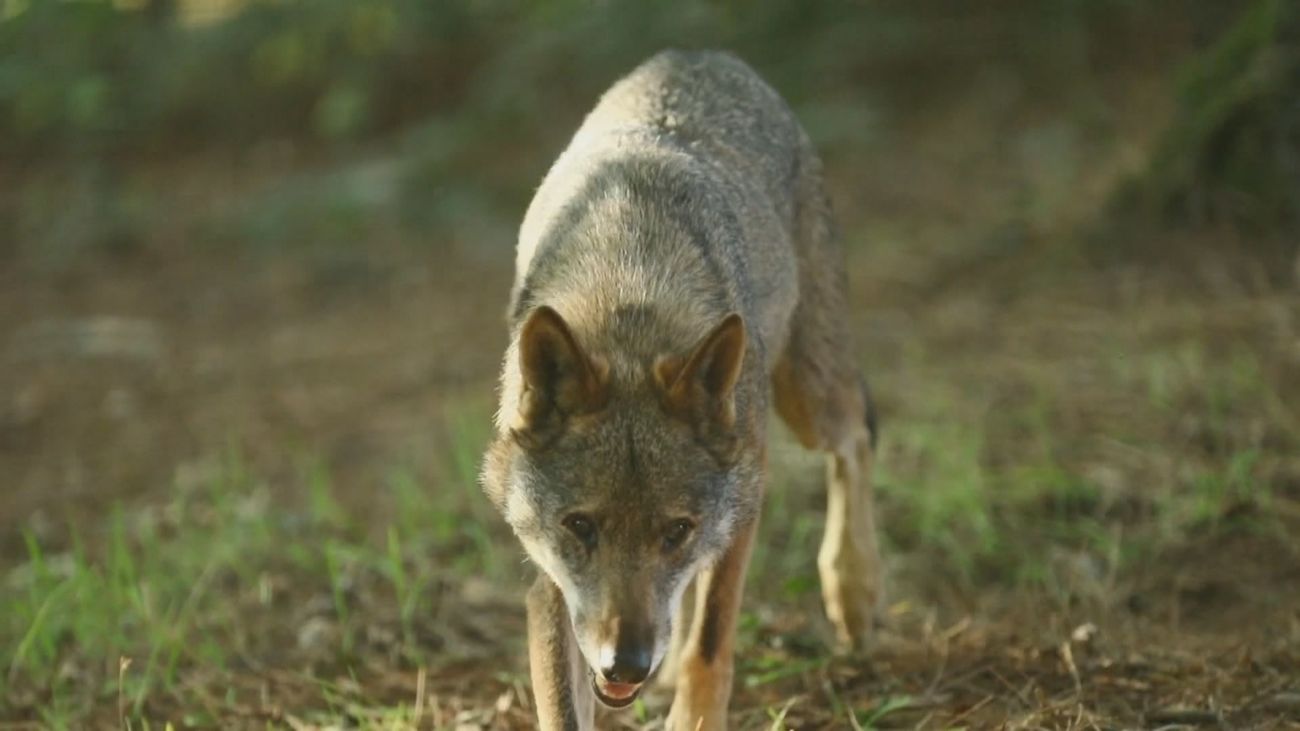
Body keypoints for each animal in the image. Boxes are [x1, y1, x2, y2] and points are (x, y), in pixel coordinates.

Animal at [480, 49, 883, 730]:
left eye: (675, 531)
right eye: (579, 526)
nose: (626, 666)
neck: (629, 311)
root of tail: (698, 55)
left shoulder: (740, 505)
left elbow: (710, 641)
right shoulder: (550, 585)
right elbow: (565, 705)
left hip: (808, 399)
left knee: (855, 438)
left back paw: (853, 591)